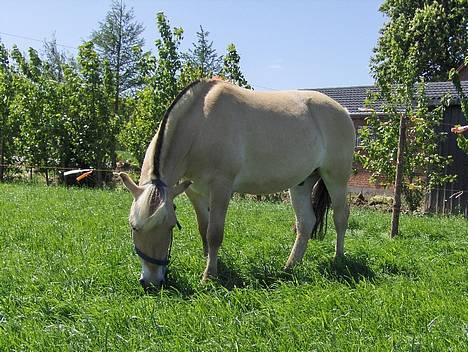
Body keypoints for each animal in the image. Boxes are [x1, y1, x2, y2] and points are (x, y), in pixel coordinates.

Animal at [119, 79, 354, 288]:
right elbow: (203, 229)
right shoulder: (194, 192)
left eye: (170, 226)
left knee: (340, 217)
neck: (201, 125)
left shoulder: (221, 188)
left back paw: (338, 259)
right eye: (133, 227)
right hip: (301, 184)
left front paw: (209, 276)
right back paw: (289, 266)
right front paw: (212, 262)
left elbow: (214, 233)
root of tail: (342, 110)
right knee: (306, 223)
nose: (151, 282)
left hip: (336, 178)